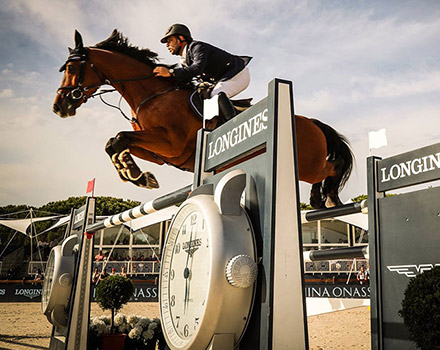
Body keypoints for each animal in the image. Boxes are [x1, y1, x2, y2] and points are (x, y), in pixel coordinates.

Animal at [52, 29, 354, 208]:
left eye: (72, 67)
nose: (59, 107)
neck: (153, 92)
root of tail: (312, 122)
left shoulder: (169, 142)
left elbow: (119, 138)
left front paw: (134, 174)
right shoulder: (160, 153)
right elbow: (114, 143)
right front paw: (136, 173)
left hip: (308, 163)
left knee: (332, 167)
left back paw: (330, 198)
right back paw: (318, 200)